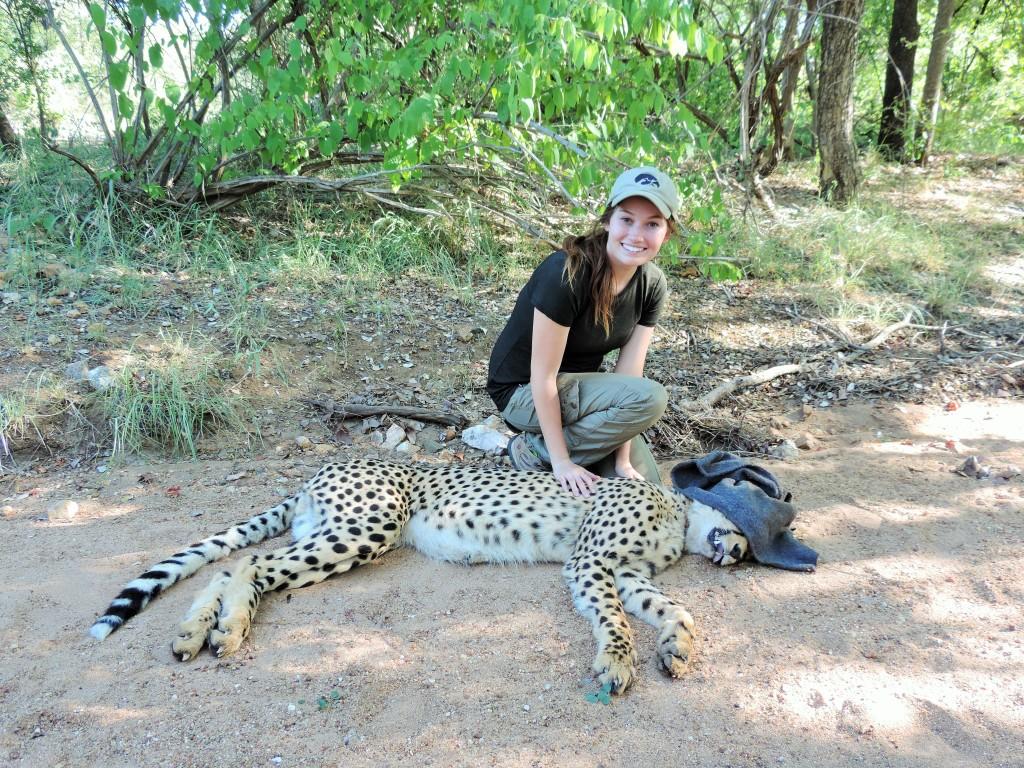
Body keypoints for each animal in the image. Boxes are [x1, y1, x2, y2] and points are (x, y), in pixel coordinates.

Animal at [92, 460, 749, 696]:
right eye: (745, 512)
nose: (741, 551)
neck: (680, 516)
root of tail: (321, 469)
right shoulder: (592, 564)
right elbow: (614, 620)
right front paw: (616, 661)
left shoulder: (627, 573)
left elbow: (673, 608)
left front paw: (677, 645)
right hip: (368, 526)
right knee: (250, 565)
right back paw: (225, 629)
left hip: (338, 535)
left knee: (235, 564)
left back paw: (196, 631)